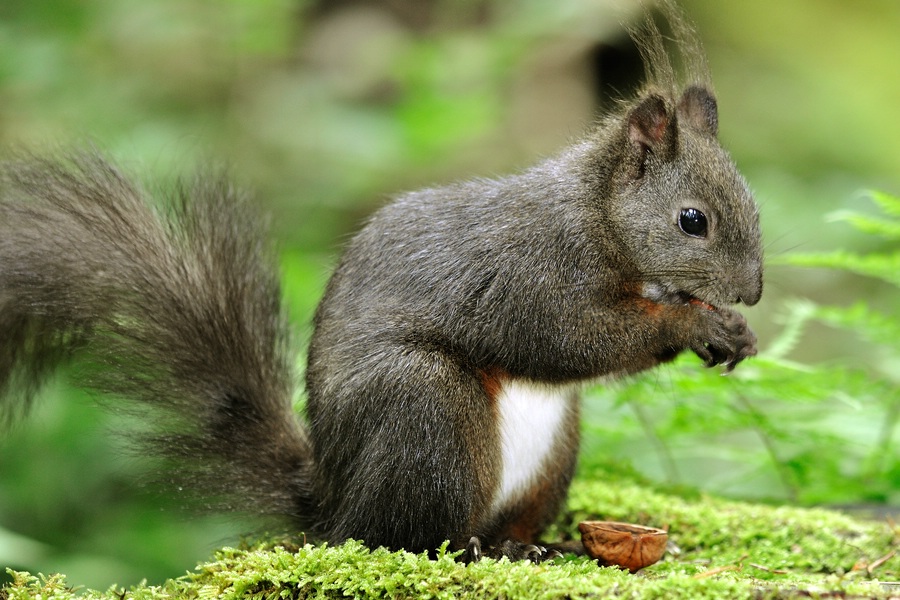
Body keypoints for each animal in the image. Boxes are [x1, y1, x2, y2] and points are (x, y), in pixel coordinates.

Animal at [0, 3, 761, 562]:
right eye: (692, 220)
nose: (752, 292)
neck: (598, 215)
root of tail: (333, 506)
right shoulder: (533, 270)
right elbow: (569, 339)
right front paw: (700, 322)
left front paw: (736, 330)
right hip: (426, 408)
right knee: (407, 536)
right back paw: (478, 552)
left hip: (551, 451)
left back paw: (533, 546)